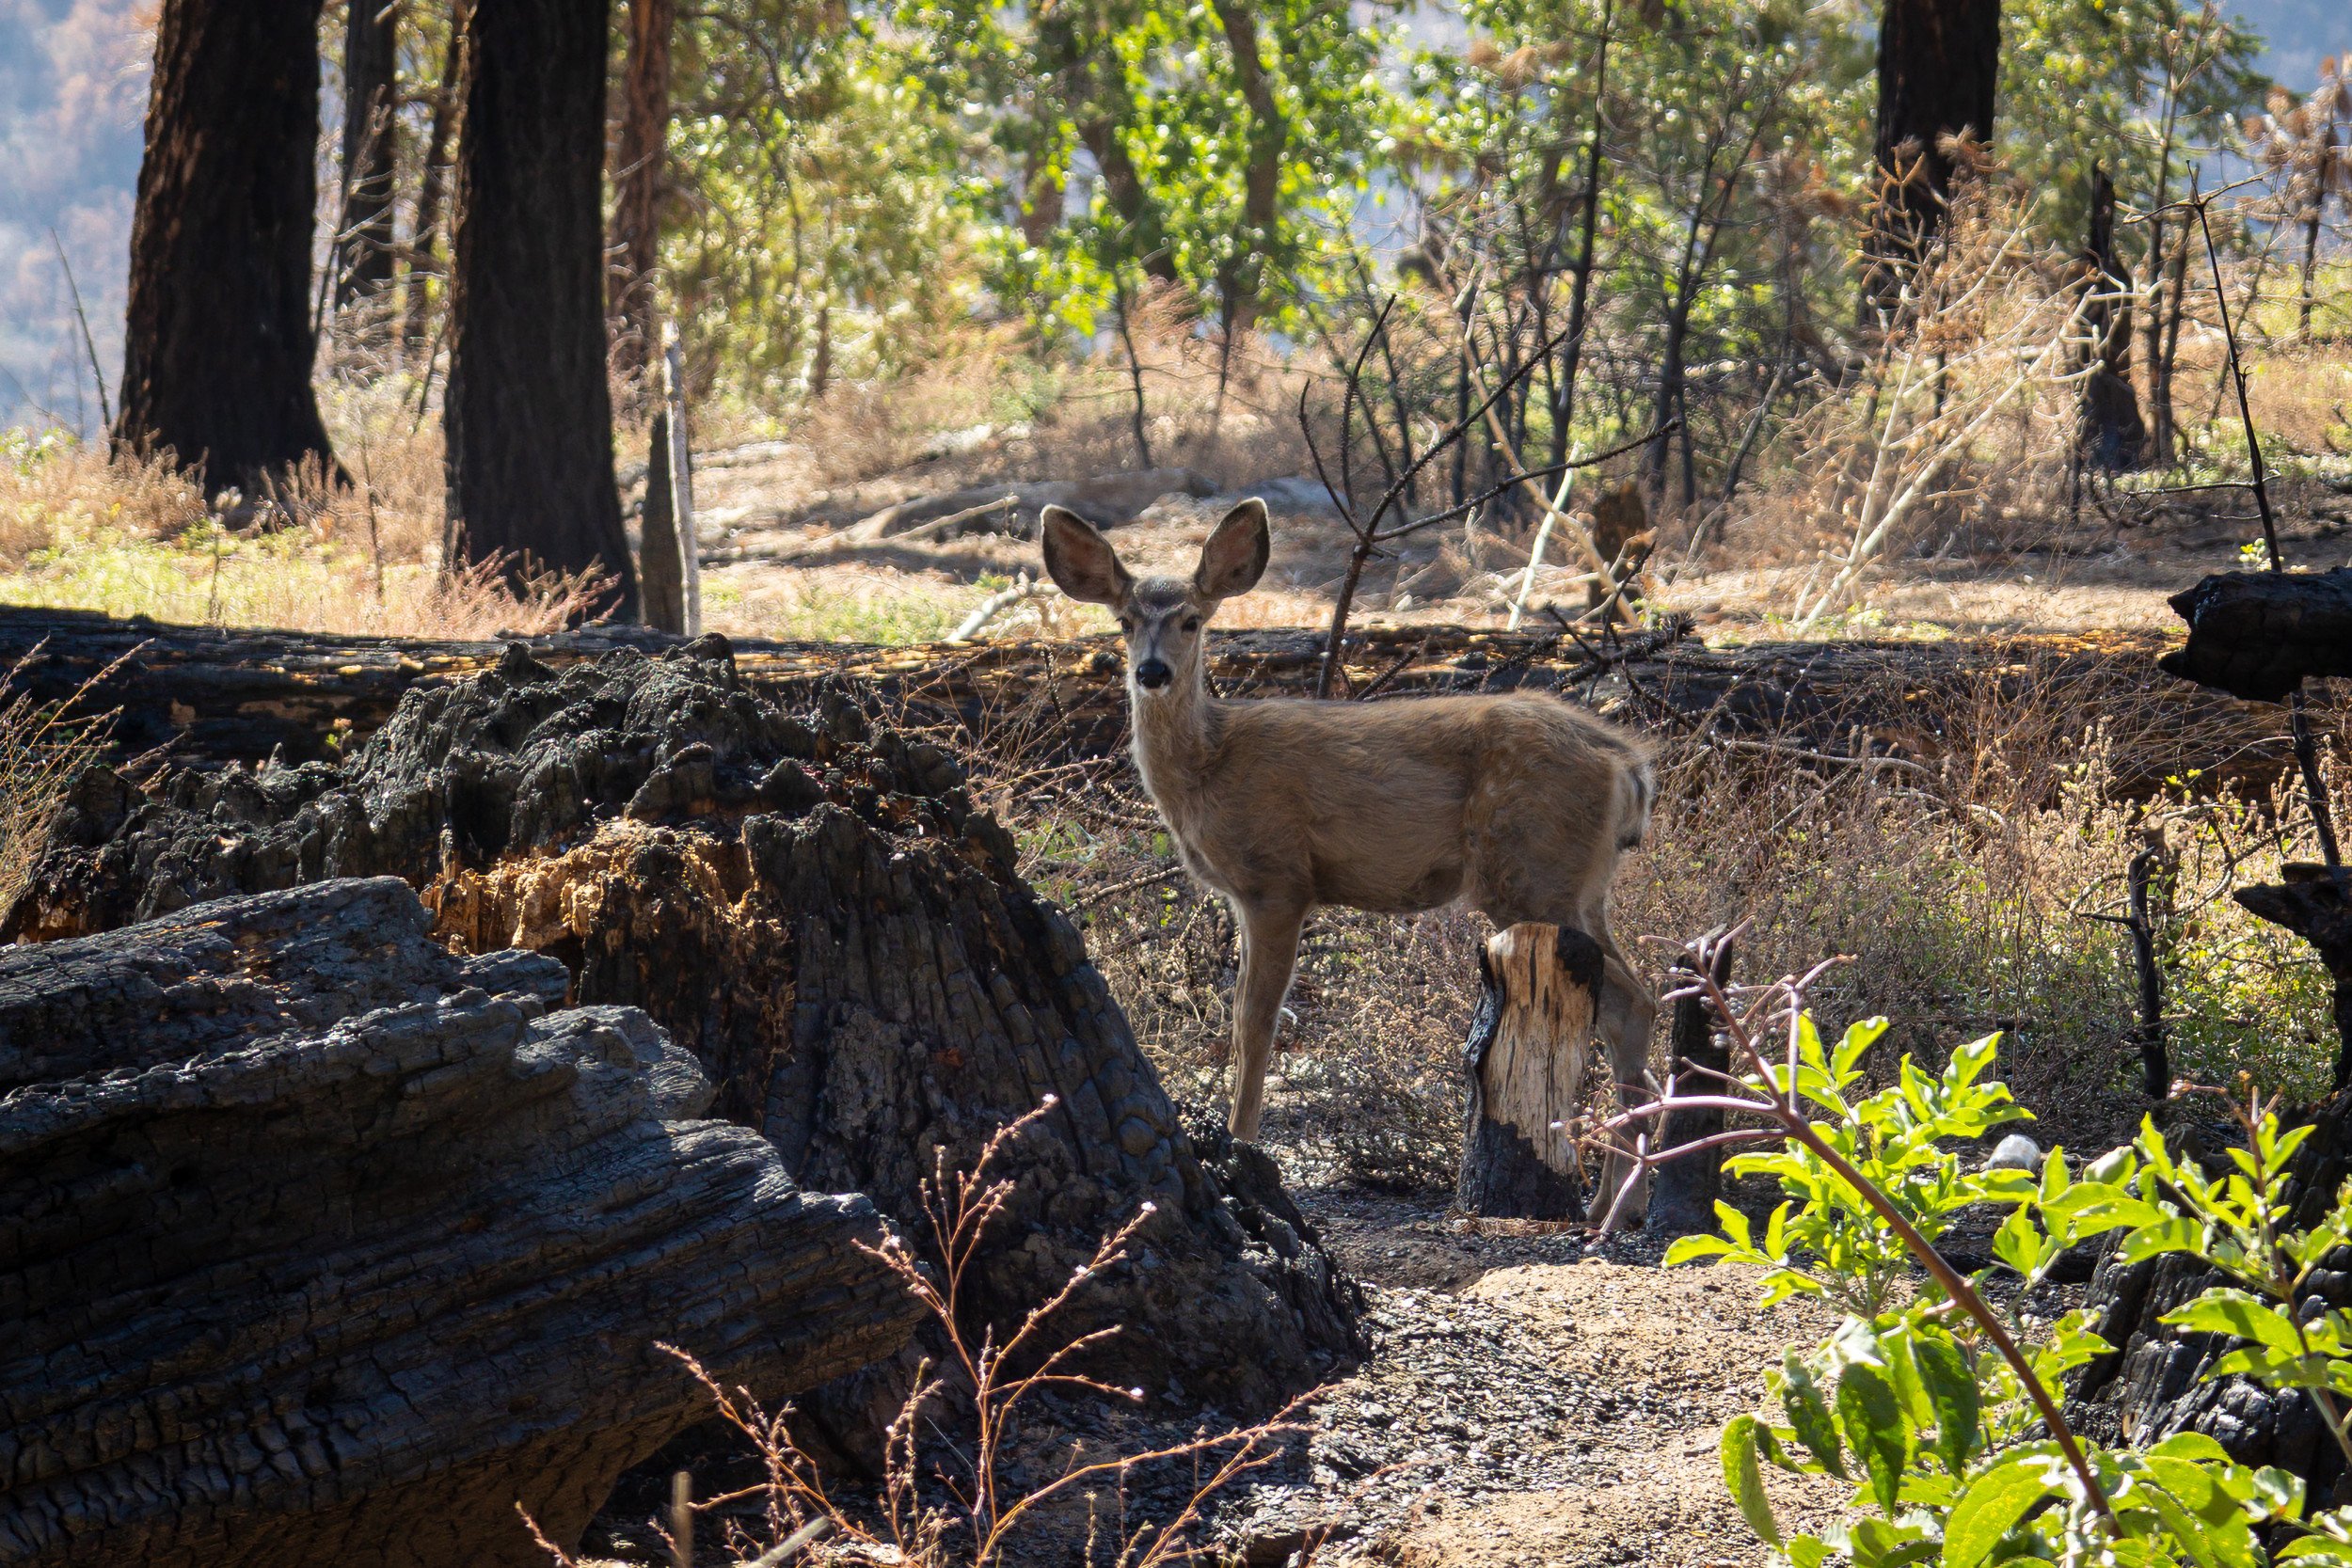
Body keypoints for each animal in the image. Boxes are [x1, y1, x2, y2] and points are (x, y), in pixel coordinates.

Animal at [1040, 496, 1665, 1212]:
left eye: (1192, 620)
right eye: (1124, 622)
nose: (1152, 672)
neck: (1209, 767)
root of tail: (1629, 766)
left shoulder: (1277, 878)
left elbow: (1255, 1022)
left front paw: (1242, 1144)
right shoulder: (1248, 894)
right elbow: (1243, 1017)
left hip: (1530, 872)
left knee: (1632, 1003)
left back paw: (1616, 1206)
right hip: (1579, 886)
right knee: (1631, 1004)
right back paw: (1615, 1201)